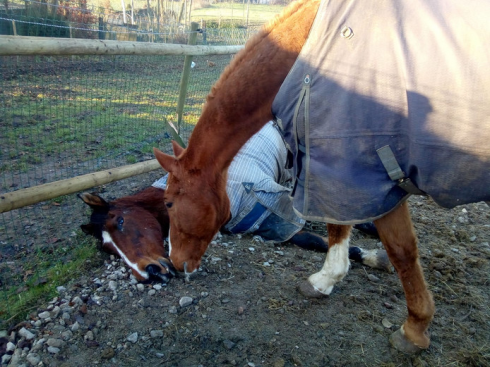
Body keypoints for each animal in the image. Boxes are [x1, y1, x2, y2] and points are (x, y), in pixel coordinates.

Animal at [153, 0, 490, 356]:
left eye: (170, 203)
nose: (175, 261)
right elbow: (373, 239)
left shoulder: (353, 174)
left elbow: (395, 248)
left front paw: (411, 327)